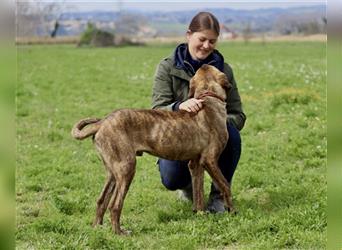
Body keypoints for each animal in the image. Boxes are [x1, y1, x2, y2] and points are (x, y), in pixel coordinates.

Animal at [70, 64, 235, 234]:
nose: (203, 64)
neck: (208, 98)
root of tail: (102, 122)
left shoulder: (195, 165)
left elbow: (199, 193)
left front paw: (200, 214)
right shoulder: (210, 160)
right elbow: (225, 186)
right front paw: (232, 211)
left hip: (112, 173)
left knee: (101, 200)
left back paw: (97, 227)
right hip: (126, 168)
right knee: (115, 205)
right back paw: (120, 233)